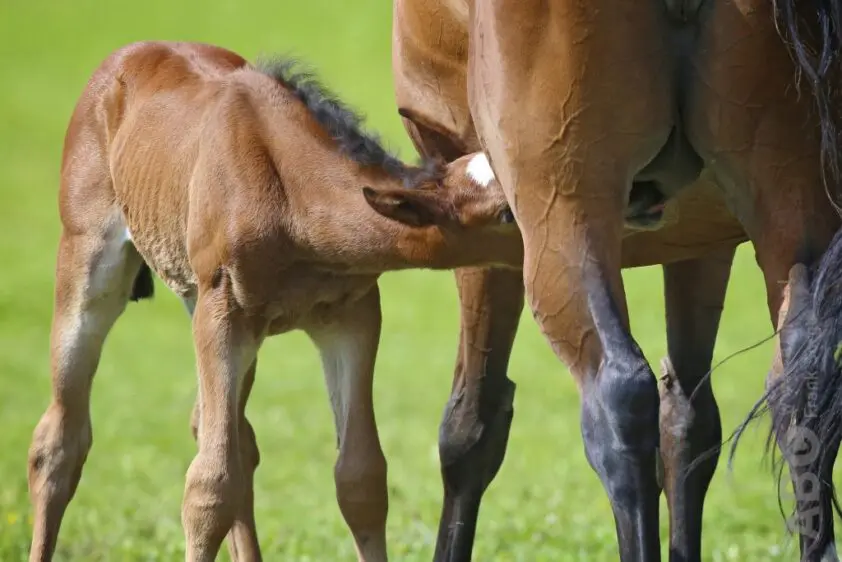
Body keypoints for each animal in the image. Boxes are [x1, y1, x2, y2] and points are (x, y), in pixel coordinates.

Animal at [26, 40, 523, 562]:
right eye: (505, 213)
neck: (292, 193)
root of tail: (129, 52)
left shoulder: (351, 314)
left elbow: (361, 476)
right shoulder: (223, 313)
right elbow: (209, 485)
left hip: (214, 308)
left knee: (233, 436)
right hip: (90, 263)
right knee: (59, 440)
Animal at [393, 0, 841, 560]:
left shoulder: (484, 232)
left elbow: (470, 424)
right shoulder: (700, 238)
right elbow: (688, 423)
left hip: (562, 214)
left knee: (619, 390)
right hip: (787, 195)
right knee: (799, 383)